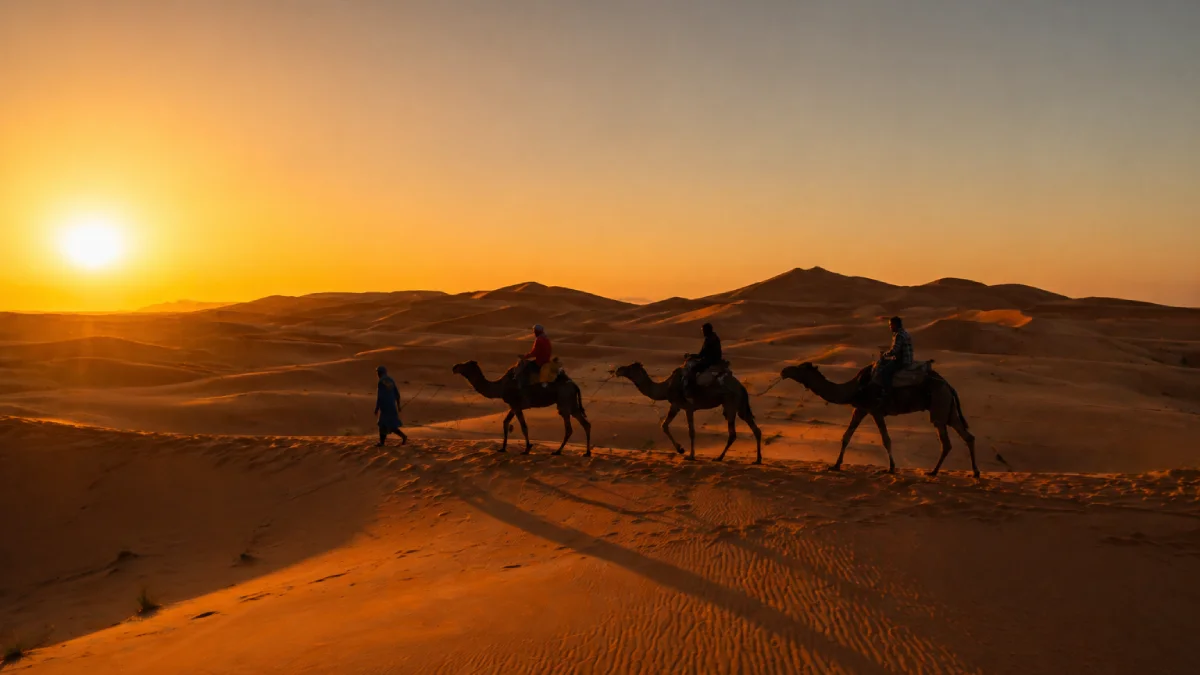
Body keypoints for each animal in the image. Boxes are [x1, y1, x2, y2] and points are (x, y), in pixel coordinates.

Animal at [451, 360, 592, 456]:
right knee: (585, 423)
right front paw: (502, 448)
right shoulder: (513, 406)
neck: (501, 387)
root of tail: (574, 385)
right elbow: (506, 422)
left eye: (467, 365)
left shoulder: (516, 405)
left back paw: (558, 451)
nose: (454, 367)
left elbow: (523, 427)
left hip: (564, 401)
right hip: (572, 403)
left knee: (569, 428)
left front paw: (527, 448)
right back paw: (586, 453)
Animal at [614, 362, 763, 463]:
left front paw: (690, 455)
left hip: (730, 403)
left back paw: (719, 457)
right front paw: (681, 449)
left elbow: (691, 431)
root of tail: (741, 386)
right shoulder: (676, 405)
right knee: (755, 429)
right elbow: (664, 425)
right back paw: (757, 459)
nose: (618, 369)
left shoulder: (687, 407)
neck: (665, 388)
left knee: (733, 433)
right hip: (740, 406)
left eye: (630, 368)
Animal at [780, 362, 978, 477]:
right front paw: (835, 465)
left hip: (939, 407)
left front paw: (890, 468)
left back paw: (933, 472)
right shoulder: (861, 408)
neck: (855, 388)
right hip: (948, 410)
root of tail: (949, 386)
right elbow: (846, 437)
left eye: (799, 368)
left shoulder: (875, 410)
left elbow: (886, 439)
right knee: (966, 436)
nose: (784, 370)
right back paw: (974, 472)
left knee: (946, 441)